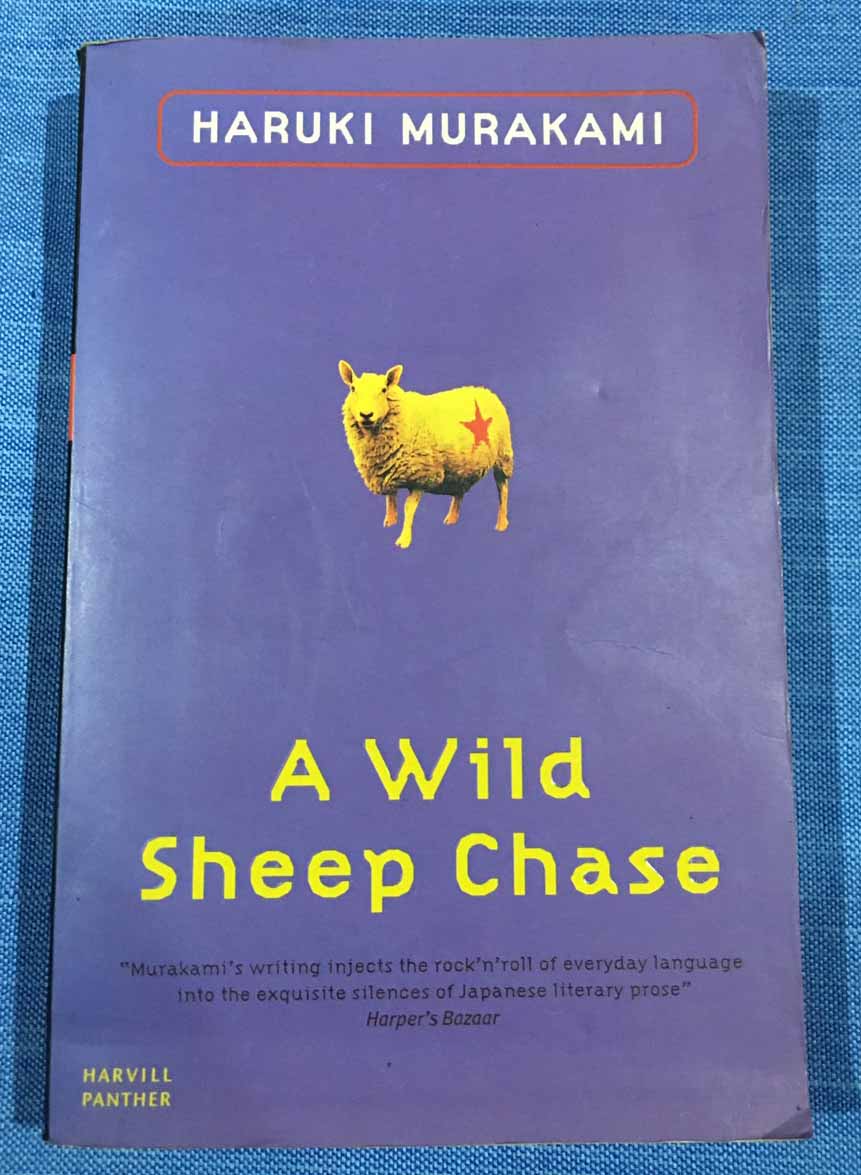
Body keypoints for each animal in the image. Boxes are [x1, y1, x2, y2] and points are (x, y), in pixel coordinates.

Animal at [339, 361, 514, 549]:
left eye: (384, 389)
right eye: (353, 389)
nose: (366, 415)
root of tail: (485, 390)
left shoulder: (420, 476)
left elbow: (408, 508)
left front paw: (404, 539)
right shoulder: (388, 472)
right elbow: (391, 500)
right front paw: (390, 522)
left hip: (503, 455)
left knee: (502, 489)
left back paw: (501, 523)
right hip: (460, 464)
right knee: (459, 490)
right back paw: (452, 518)